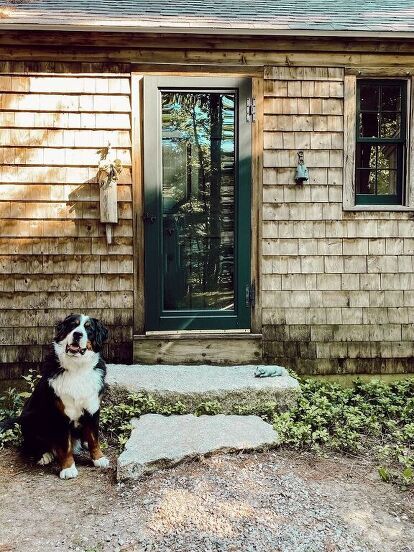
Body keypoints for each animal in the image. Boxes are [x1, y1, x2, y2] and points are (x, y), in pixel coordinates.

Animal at [1, 314, 110, 478]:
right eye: (73, 325)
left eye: (89, 328)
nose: (78, 334)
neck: (77, 368)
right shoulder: (60, 414)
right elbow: (65, 445)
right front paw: (68, 468)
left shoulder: (92, 409)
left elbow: (93, 438)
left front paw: (98, 458)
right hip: (30, 417)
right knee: (31, 445)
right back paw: (45, 455)